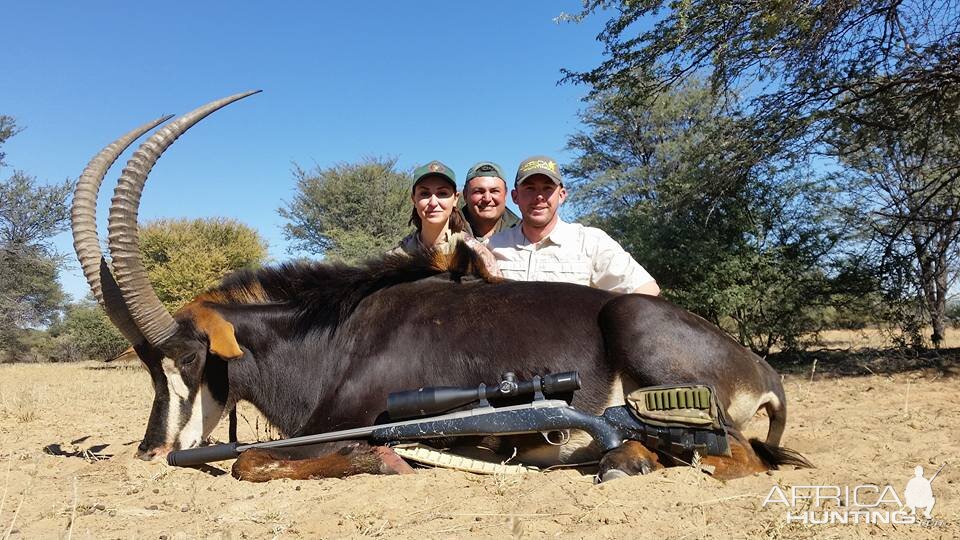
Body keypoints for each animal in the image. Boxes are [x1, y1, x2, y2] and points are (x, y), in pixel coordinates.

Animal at [73, 93, 808, 480]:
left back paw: (622, 459)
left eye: (190, 361)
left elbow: (250, 462)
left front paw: (387, 461)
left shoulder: (343, 422)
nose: (152, 453)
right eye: (150, 368)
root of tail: (763, 371)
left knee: (734, 455)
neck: (333, 334)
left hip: (637, 329)